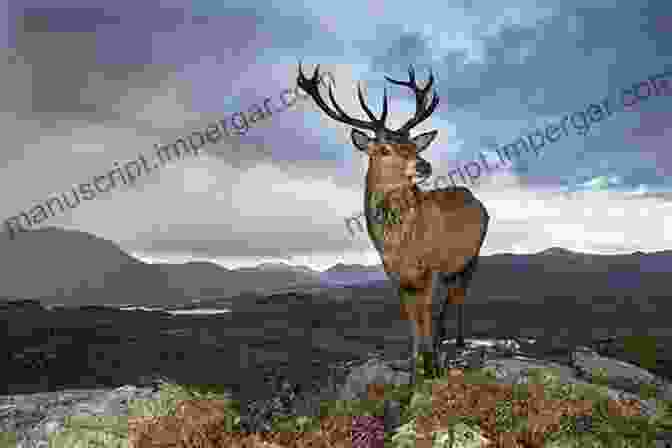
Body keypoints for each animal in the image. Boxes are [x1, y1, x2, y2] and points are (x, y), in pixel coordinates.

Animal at [296, 64, 490, 388]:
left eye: (413, 145)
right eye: (384, 149)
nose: (424, 166)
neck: (400, 245)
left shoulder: (430, 269)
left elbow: (425, 318)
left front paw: (431, 370)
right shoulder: (397, 277)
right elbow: (412, 324)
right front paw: (413, 377)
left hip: (469, 260)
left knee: (453, 303)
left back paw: (454, 348)